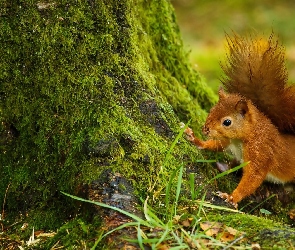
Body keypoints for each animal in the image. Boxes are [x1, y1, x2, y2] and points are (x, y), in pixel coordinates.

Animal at [186, 34, 295, 208]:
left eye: (227, 122)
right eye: (211, 110)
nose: (205, 129)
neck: (244, 137)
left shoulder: (261, 151)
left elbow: (253, 177)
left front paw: (232, 197)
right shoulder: (228, 140)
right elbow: (218, 145)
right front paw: (196, 139)